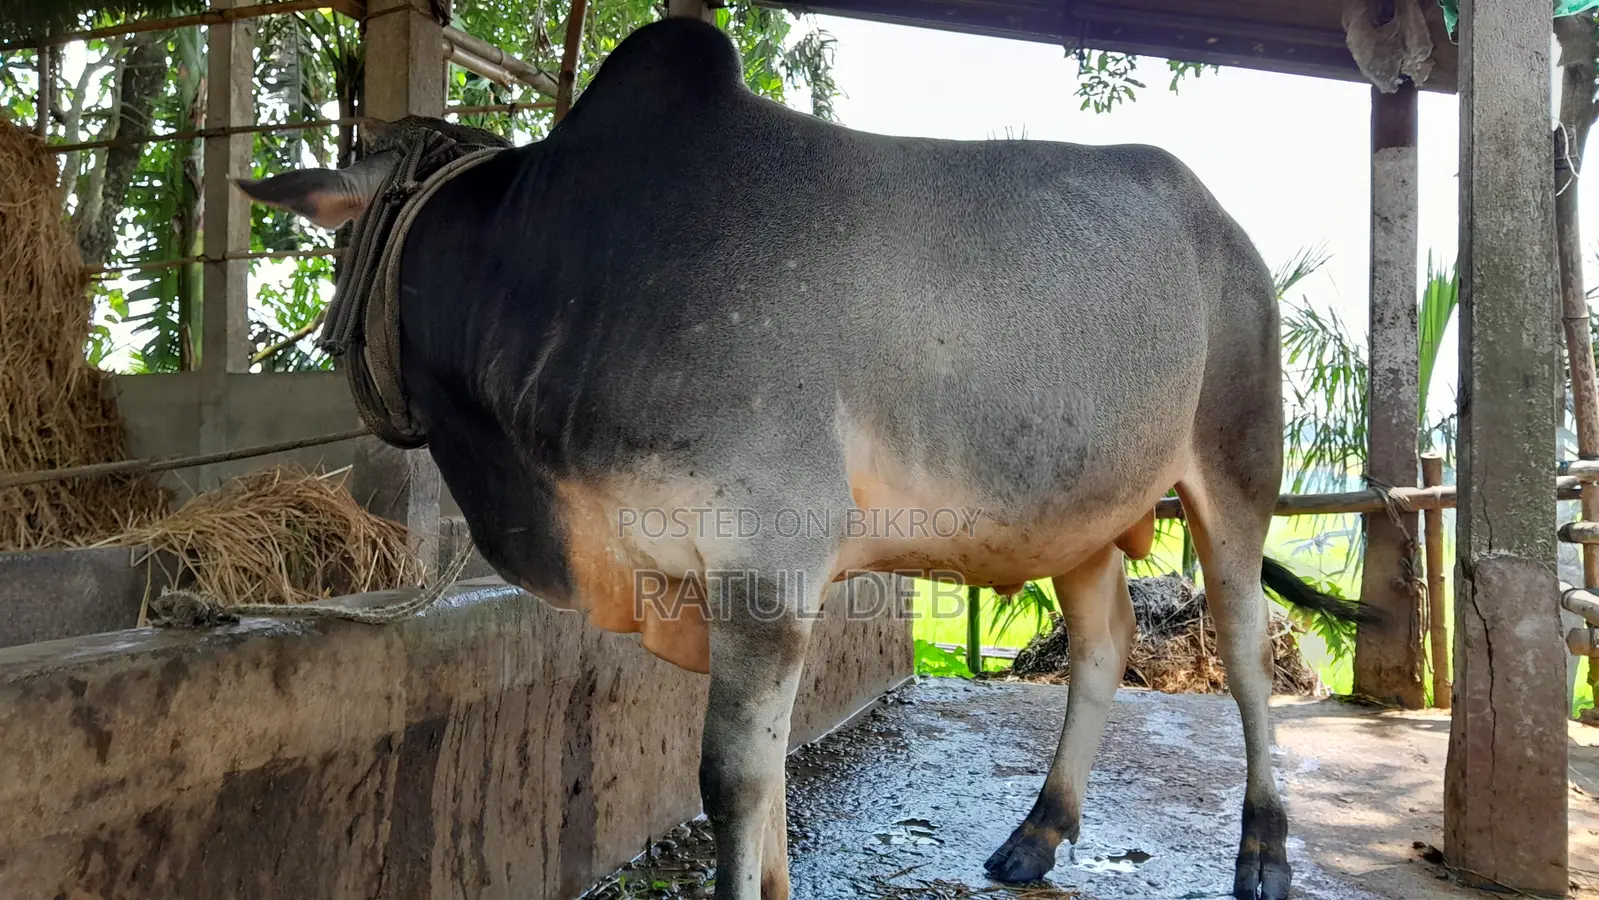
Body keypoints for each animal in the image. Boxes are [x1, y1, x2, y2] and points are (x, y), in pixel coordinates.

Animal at [237, 17, 1366, 900]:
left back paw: (1263, 853)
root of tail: (1224, 228)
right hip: (1075, 512)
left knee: (1242, 649)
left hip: (1237, 462)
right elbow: (770, 772)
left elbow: (732, 782)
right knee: (1102, 642)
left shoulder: (765, 566)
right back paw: (1036, 835)